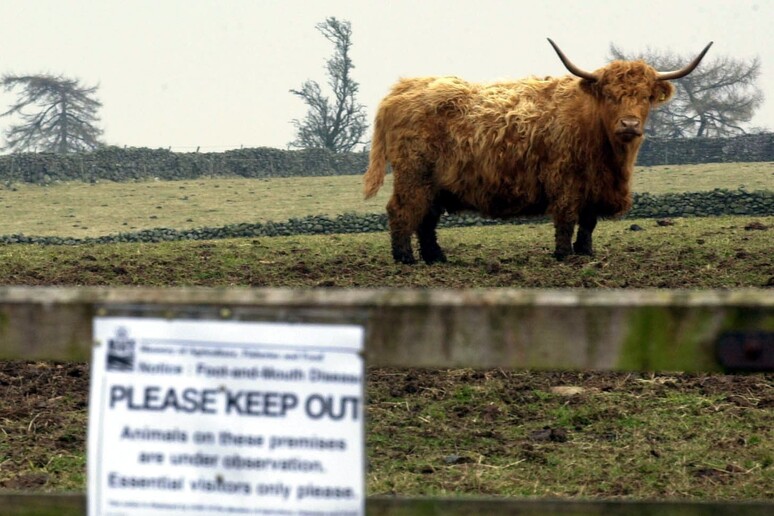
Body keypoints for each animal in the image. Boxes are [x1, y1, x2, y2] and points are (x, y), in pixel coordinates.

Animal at [364, 38, 716, 262]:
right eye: (610, 95)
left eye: (644, 97)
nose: (629, 124)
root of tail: (403, 88)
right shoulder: (565, 181)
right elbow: (566, 218)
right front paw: (563, 255)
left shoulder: (594, 188)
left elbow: (589, 222)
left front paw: (585, 253)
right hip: (414, 174)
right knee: (402, 211)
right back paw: (405, 259)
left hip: (434, 183)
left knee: (427, 217)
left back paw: (436, 258)